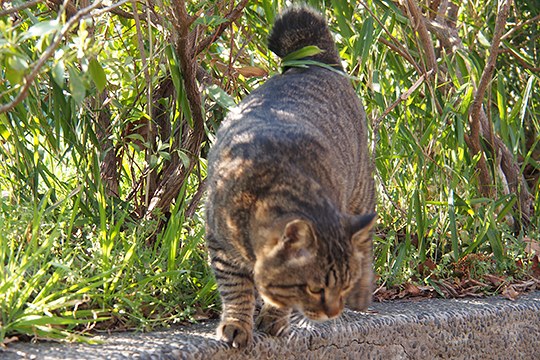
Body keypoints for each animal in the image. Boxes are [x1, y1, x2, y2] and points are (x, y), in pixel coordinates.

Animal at [205, 7, 378, 348]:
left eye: (342, 284)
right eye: (314, 288)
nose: (333, 311)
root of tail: (314, 64)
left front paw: (275, 317)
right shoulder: (220, 246)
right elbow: (236, 290)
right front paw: (238, 323)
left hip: (360, 194)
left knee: (365, 244)